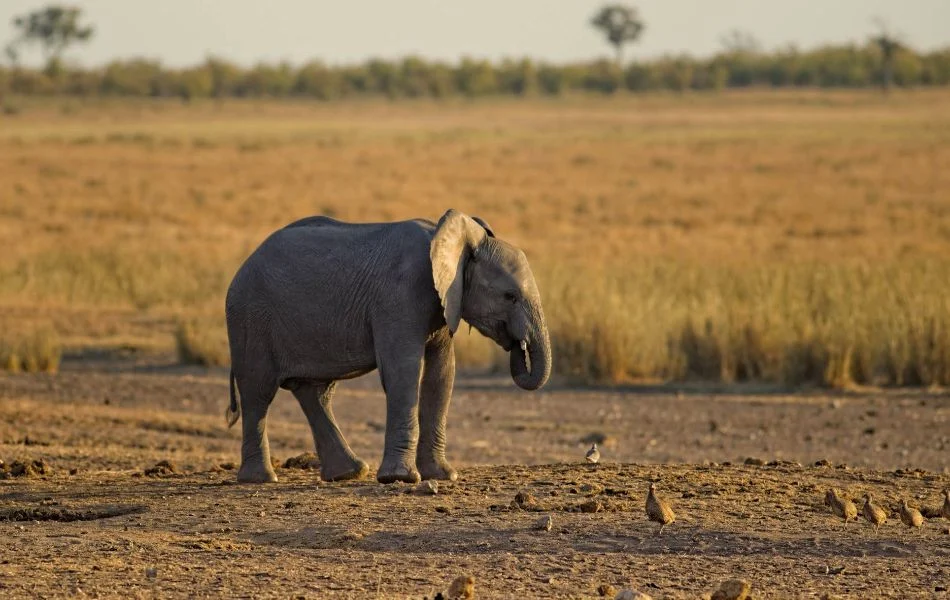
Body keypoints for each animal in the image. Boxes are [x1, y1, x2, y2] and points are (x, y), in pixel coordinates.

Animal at [224, 209, 551, 484]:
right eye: (510, 296)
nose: (518, 346)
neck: (451, 238)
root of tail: (242, 267)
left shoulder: (445, 301)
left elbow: (442, 374)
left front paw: (444, 475)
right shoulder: (400, 295)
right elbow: (403, 372)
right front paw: (401, 479)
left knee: (314, 392)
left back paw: (350, 473)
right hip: (250, 318)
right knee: (258, 392)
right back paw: (262, 479)